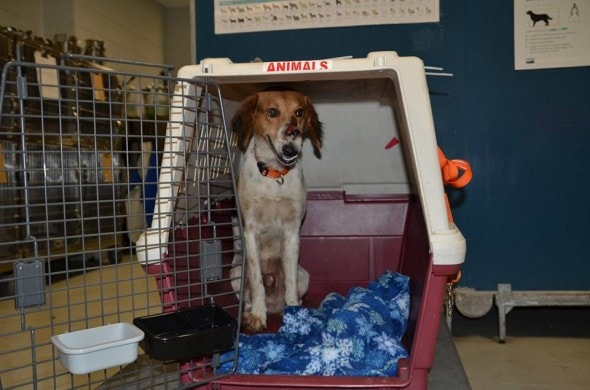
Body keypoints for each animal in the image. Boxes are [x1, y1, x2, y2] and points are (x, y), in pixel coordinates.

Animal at [230, 89, 324, 332]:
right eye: (272, 112)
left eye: (299, 112)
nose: (291, 148)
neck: (274, 175)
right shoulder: (250, 231)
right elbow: (257, 283)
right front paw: (257, 316)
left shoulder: (292, 232)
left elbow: (290, 282)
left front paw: (294, 316)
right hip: (236, 274)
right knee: (248, 296)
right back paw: (250, 312)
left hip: (304, 275)